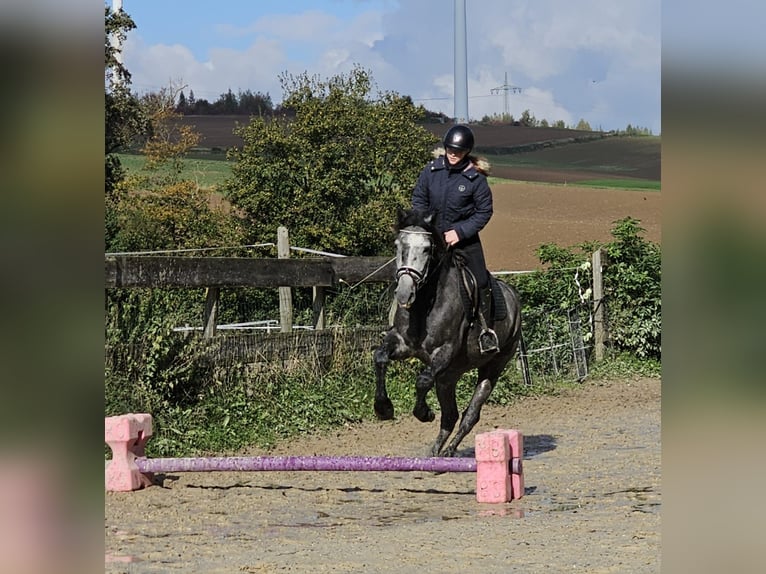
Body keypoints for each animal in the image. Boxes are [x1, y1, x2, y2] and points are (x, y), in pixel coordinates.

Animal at [376, 209, 524, 456]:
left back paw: (449, 451)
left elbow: (422, 380)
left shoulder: (443, 352)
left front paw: (424, 413)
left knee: (470, 414)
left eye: (427, 249)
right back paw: (435, 453)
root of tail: (513, 295)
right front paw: (383, 408)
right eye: (398, 245)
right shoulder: (401, 343)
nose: (404, 293)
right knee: (450, 416)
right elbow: (379, 358)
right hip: (448, 376)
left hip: (492, 367)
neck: (425, 303)